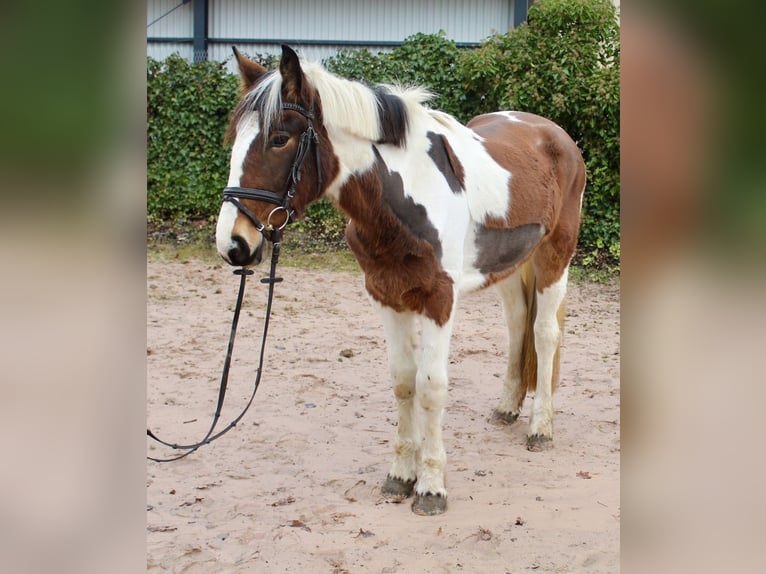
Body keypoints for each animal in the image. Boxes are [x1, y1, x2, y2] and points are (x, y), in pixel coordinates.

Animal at [216, 42, 588, 516]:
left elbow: (430, 387)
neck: (403, 196)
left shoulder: (439, 300)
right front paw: (400, 475)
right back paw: (507, 407)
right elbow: (403, 382)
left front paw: (431, 487)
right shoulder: (386, 295)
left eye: (280, 138)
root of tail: (554, 134)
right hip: (508, 265)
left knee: (543, 334)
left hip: (555, 255)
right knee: (519, 324)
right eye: (236, 140)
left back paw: (540, 428)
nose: (233, 243)